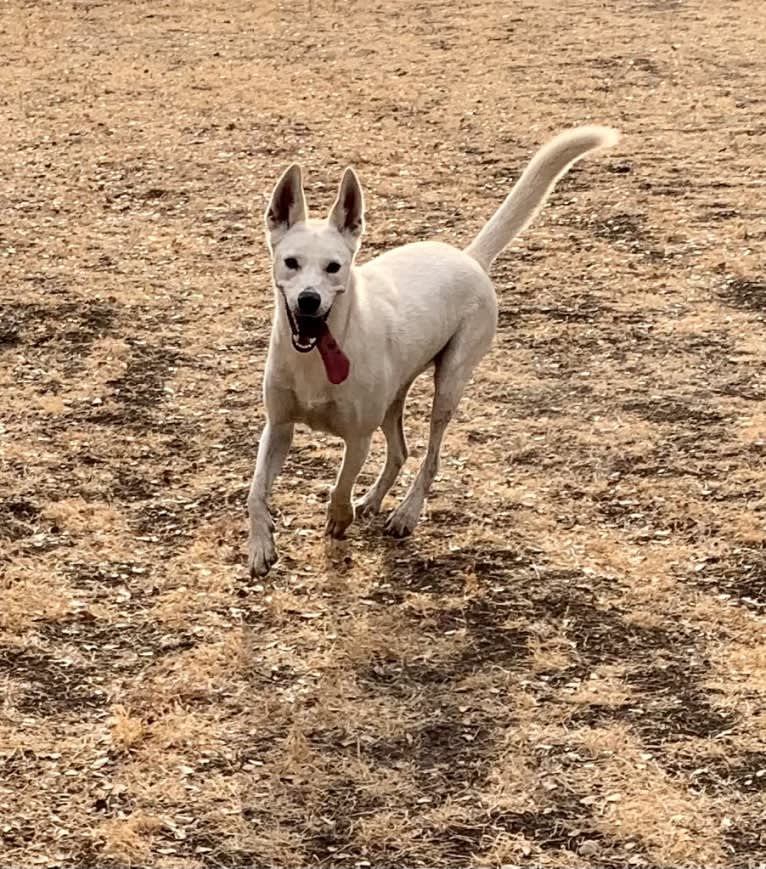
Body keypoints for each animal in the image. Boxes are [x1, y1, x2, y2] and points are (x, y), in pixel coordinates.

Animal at [249, 124, 620, 576]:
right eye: (291, 262)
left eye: (334, 268)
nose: (308, 300)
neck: (316, 357)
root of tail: (470, 258)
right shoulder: (279, 426)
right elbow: (255, 491)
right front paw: (261, 546)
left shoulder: (358, 437)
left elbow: (340, 484)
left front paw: (339, 517)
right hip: (395, 396)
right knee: (401, 451)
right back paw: (374, 500)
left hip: (449, 383)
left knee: (430, 456)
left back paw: (405, 513)